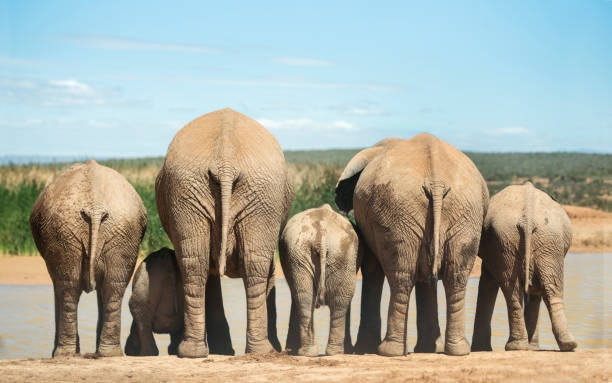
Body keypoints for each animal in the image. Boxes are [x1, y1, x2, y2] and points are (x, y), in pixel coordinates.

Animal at [30, 160, 148, 358]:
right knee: (111, 287)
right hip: (115, 231)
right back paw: (107, 354)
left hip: (77, 231)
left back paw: (65, 354)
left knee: (68, 288)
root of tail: (95, 205)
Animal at [157, 106, 292, 358]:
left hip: (243, 193)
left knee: (197, 263)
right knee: (240, 266)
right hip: (194, 189)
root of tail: (226, 158)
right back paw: (258, 351)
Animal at [280, 204, 364, 356]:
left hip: (314, 251)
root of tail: (321, 234)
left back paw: (313, 353)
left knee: (306, 296)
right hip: (321, 252)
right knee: (337, 298)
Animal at [334, 134, 488, 356]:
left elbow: (372, 269)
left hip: (405, 211)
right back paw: (455, 350)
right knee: (452, 277)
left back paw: (389, 351)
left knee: (404, 276)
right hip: (451, 213)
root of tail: (436, 182)